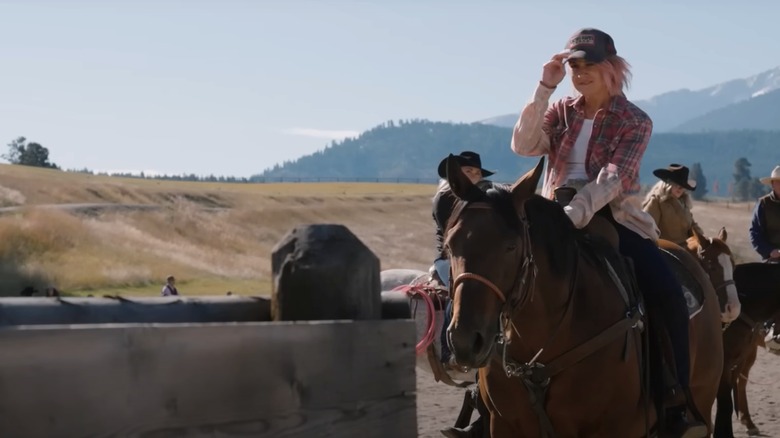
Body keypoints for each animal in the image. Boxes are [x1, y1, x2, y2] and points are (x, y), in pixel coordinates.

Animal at [444, 156, 724, 436]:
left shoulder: (616, 428)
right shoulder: (504, 424)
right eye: (450, 244)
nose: (465, 340)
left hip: (703, 397)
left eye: (511, 246)